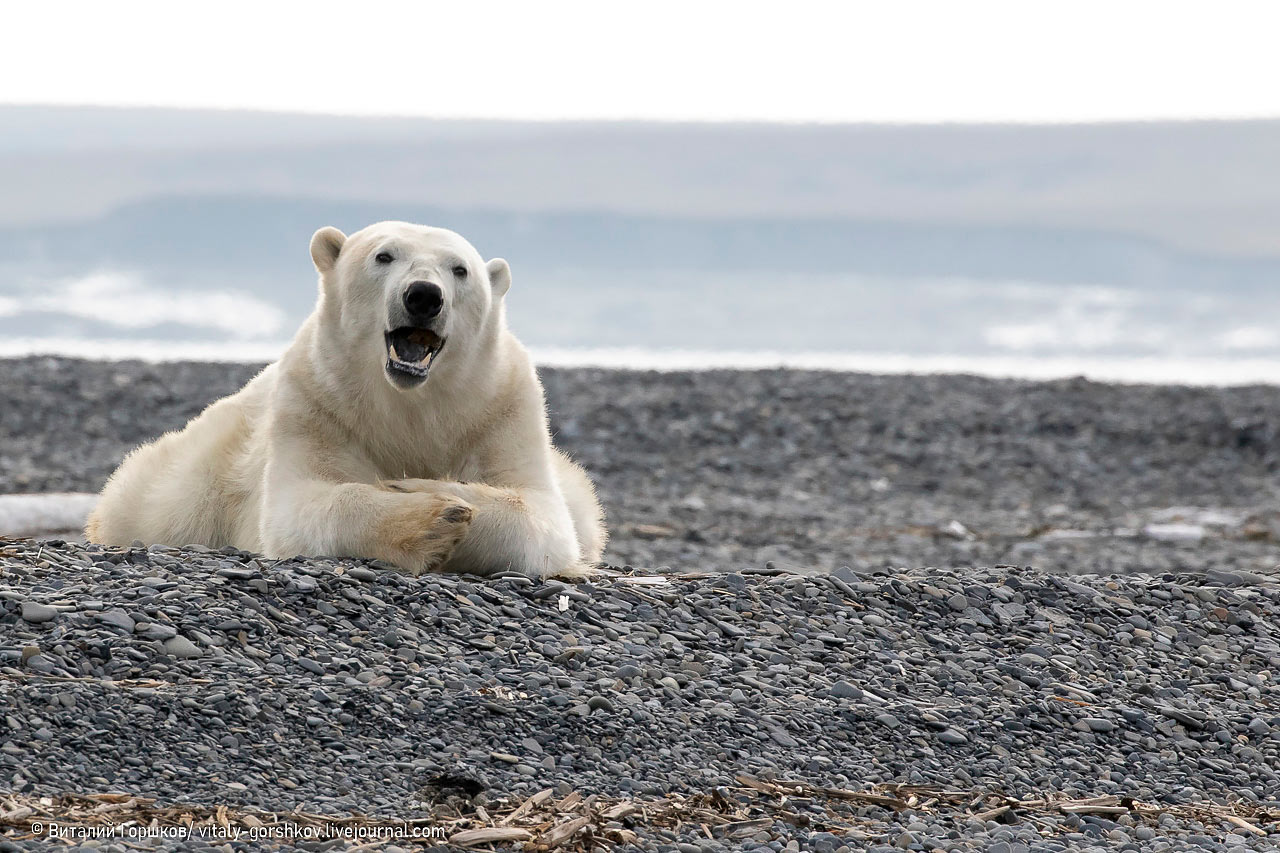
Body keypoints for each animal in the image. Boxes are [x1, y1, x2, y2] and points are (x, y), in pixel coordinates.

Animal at [85, 219, 604, 578]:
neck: (409, 402)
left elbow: (537, 512)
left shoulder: (503, 409)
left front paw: (425, 486)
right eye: (384, 255)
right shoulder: (315, 403)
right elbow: (305, 501)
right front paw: (431, 517)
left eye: (461, 270)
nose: (423, 295)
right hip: (184, 481)